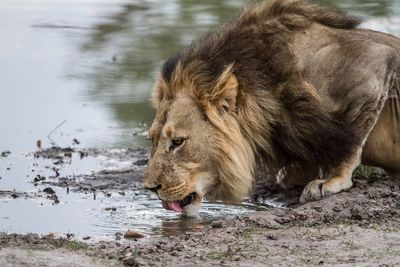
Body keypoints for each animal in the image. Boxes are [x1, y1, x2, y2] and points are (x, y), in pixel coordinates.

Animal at [144, 0, 400, 216]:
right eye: (152, 140)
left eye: (177, 142)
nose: (150, 188)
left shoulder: (375, 62)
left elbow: (351, 141)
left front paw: (331, 180)